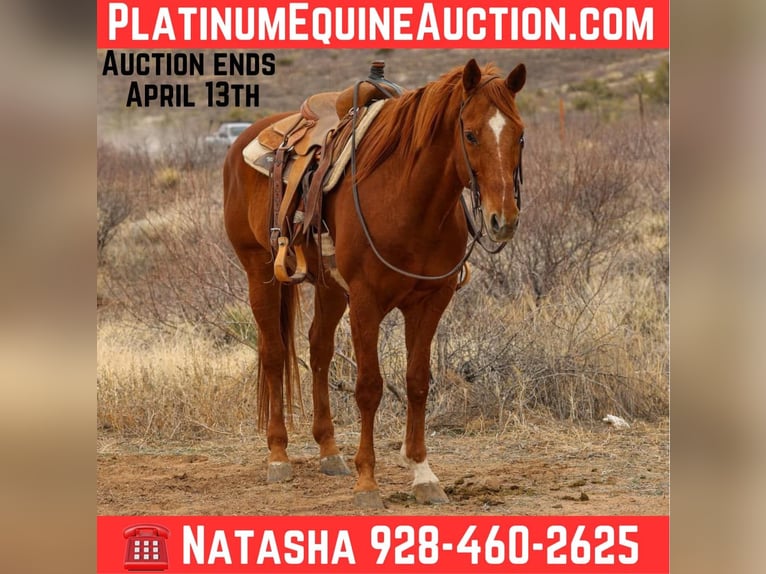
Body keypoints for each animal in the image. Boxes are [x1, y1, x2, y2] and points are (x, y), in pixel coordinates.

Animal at [223, 59, 526, 508]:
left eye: (519, 134)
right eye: (470, 134)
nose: (501, 220)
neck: (408, 200)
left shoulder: (430, 302)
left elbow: (417, 382)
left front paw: (422, 473)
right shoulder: (366, 302)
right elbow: (369, 387)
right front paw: (367, 482)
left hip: (329, 288)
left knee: (318, 350)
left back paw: (329, 451)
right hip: (258, 270)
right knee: (274, 353)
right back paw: (278, 455)